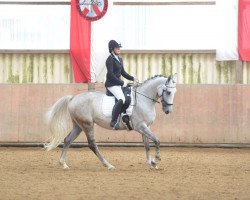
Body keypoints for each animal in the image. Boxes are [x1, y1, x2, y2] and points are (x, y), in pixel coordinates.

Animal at [45, 73, 178, 170]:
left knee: (68, 140)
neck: (143, 99)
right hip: (87, 124)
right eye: (168, 92)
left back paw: (63, 164)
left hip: (78, 125)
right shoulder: (141, 126)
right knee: (92, 144)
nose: (168, 111)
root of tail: (73, 98)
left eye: (174, 92)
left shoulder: (145, 127)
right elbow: (157, 141)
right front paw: (155, 160)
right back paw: (108, 165)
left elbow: (147, 146)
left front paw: (150, 163)